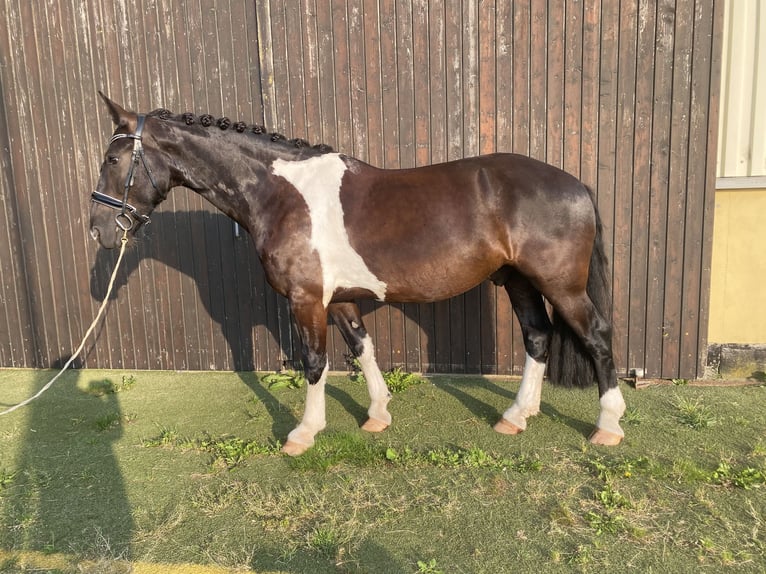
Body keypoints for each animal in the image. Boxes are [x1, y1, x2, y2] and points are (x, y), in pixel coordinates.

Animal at [89, 93, 626, 456]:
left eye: (113, 159)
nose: (98, 229)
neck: (281, 195)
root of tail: (575, 183)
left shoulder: (306, 299)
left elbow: (314, 362)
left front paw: (304, 433)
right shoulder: (339, 298)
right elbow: (361, 348)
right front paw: (378, 415)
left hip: (561, 285)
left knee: (597, 335)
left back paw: (608, 424)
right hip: (518, 281)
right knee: (537, 337)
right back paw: (516, 416)